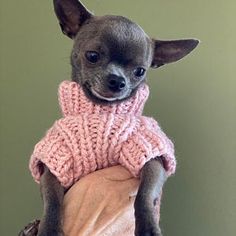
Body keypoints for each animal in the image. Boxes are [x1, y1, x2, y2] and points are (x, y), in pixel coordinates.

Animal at [19, 0, 198, 236]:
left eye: (140, 71)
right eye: (92, 56)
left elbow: (145, 195)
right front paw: (48, 228)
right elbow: (52, 201)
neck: (101, 112)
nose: (118, 81)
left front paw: (148, 226)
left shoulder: (151, 154)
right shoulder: (54, 163)